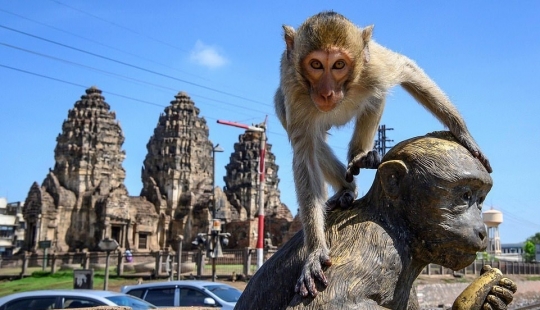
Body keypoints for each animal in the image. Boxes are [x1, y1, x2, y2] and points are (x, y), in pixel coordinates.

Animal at [276, 11, 492, 298]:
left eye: (338, 65)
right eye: (316, 64)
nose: (326, 92)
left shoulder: (374, 67)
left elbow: (407, 69)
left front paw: (464, 133)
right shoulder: (295, 90)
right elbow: (305, 154)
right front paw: (315, 252)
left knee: (375, 96)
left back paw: (360, 156)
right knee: (304, 132)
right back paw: (347, 187)